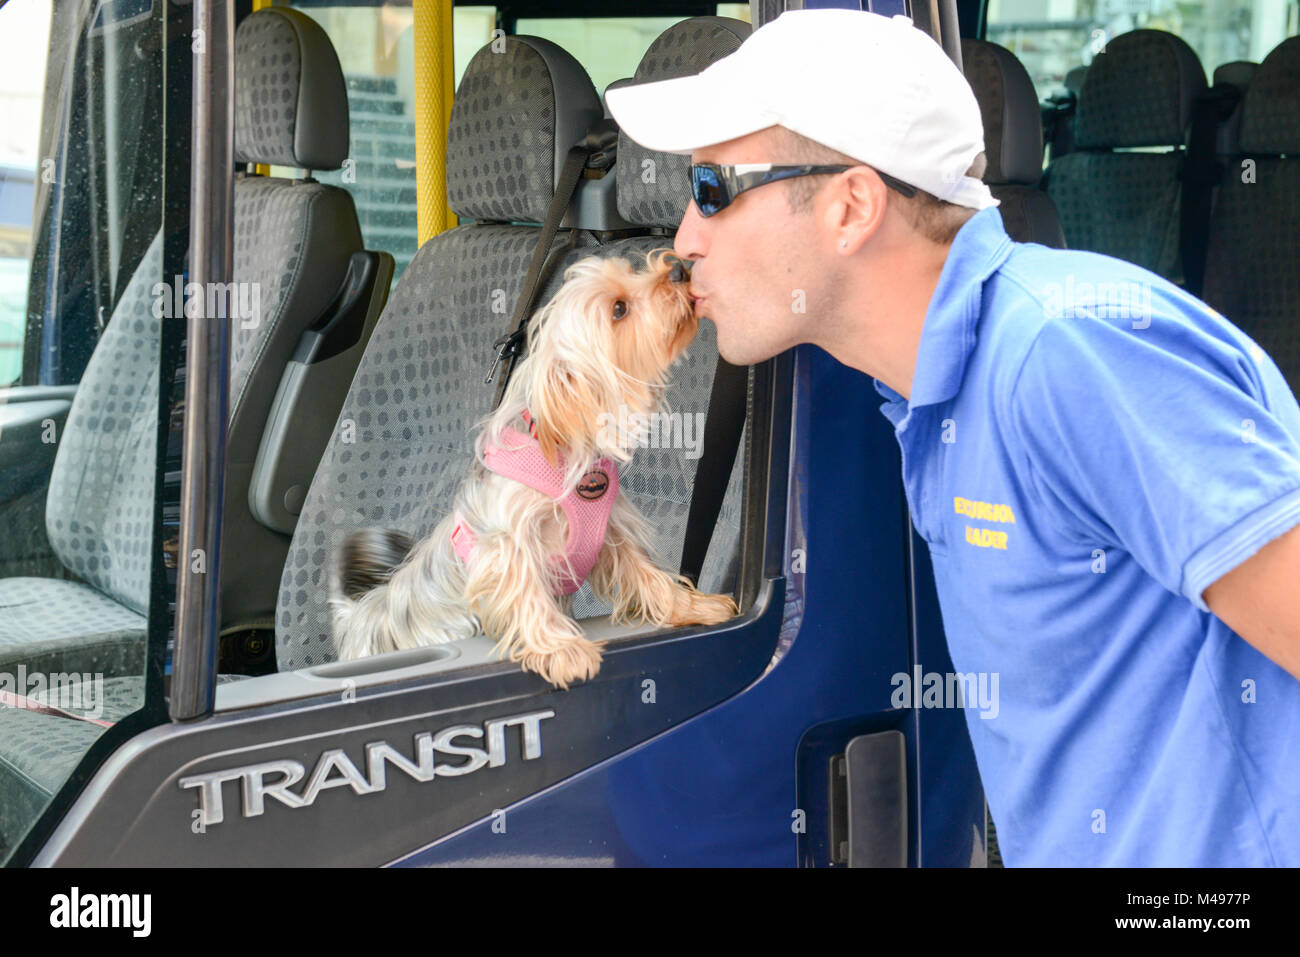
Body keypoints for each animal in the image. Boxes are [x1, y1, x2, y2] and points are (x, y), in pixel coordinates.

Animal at [330, 250, 738, 686]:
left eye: (631, 273)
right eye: (619, 309)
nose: (677, 268)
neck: (561, 448)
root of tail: (358, 618)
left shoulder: (611, 534)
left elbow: (645, 574)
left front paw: (693, 607)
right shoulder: (507, 546)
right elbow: (526, 593)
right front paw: (561, 649)